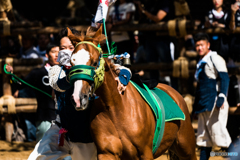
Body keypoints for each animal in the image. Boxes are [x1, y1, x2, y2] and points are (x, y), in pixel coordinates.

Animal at [66, 26, 196, 159]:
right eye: (71, 63)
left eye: (94, 62)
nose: (78, 98)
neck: (114, 109)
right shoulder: (106, 153)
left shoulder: (145, 152)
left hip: (187, 147)